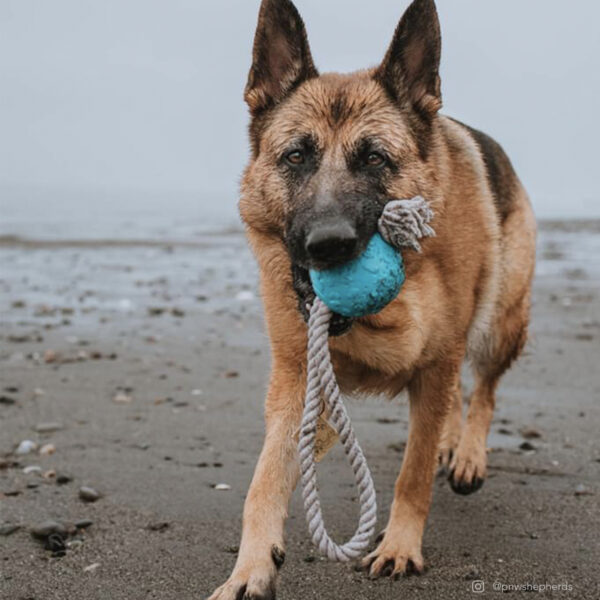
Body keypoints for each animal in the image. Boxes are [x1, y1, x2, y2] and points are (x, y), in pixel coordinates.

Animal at [210, 1, 536, 596]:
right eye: (296, 156)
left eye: (376, 159)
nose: (329, 245)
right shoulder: (298, 380)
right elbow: (264, 481)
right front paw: (250, 568)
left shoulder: (436, 363)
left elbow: (413, 472)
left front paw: (400, 545)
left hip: (500, 325)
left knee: (484, 389)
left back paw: (468, 454)